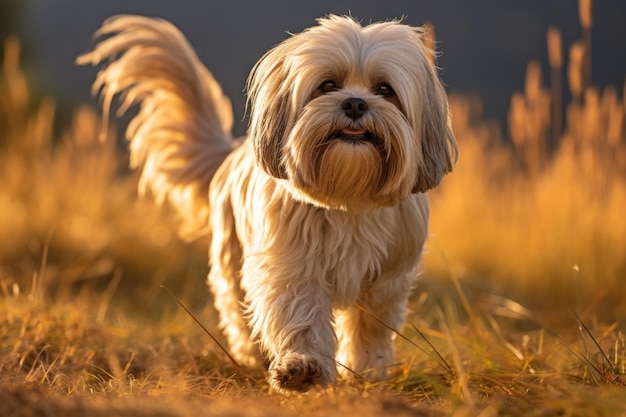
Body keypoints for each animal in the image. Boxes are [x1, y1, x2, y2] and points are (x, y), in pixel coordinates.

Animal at [79, 14, 458, 392]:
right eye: (327, 85)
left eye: (384, 90)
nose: (354, 103)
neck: (348, 197)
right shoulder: (292, 264)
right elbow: (301, 313)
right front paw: (304, 366)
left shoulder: (388, 278)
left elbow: (371, 327)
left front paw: (369, 370)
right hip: (232, 255)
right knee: (238, 310)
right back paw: (252, 354)